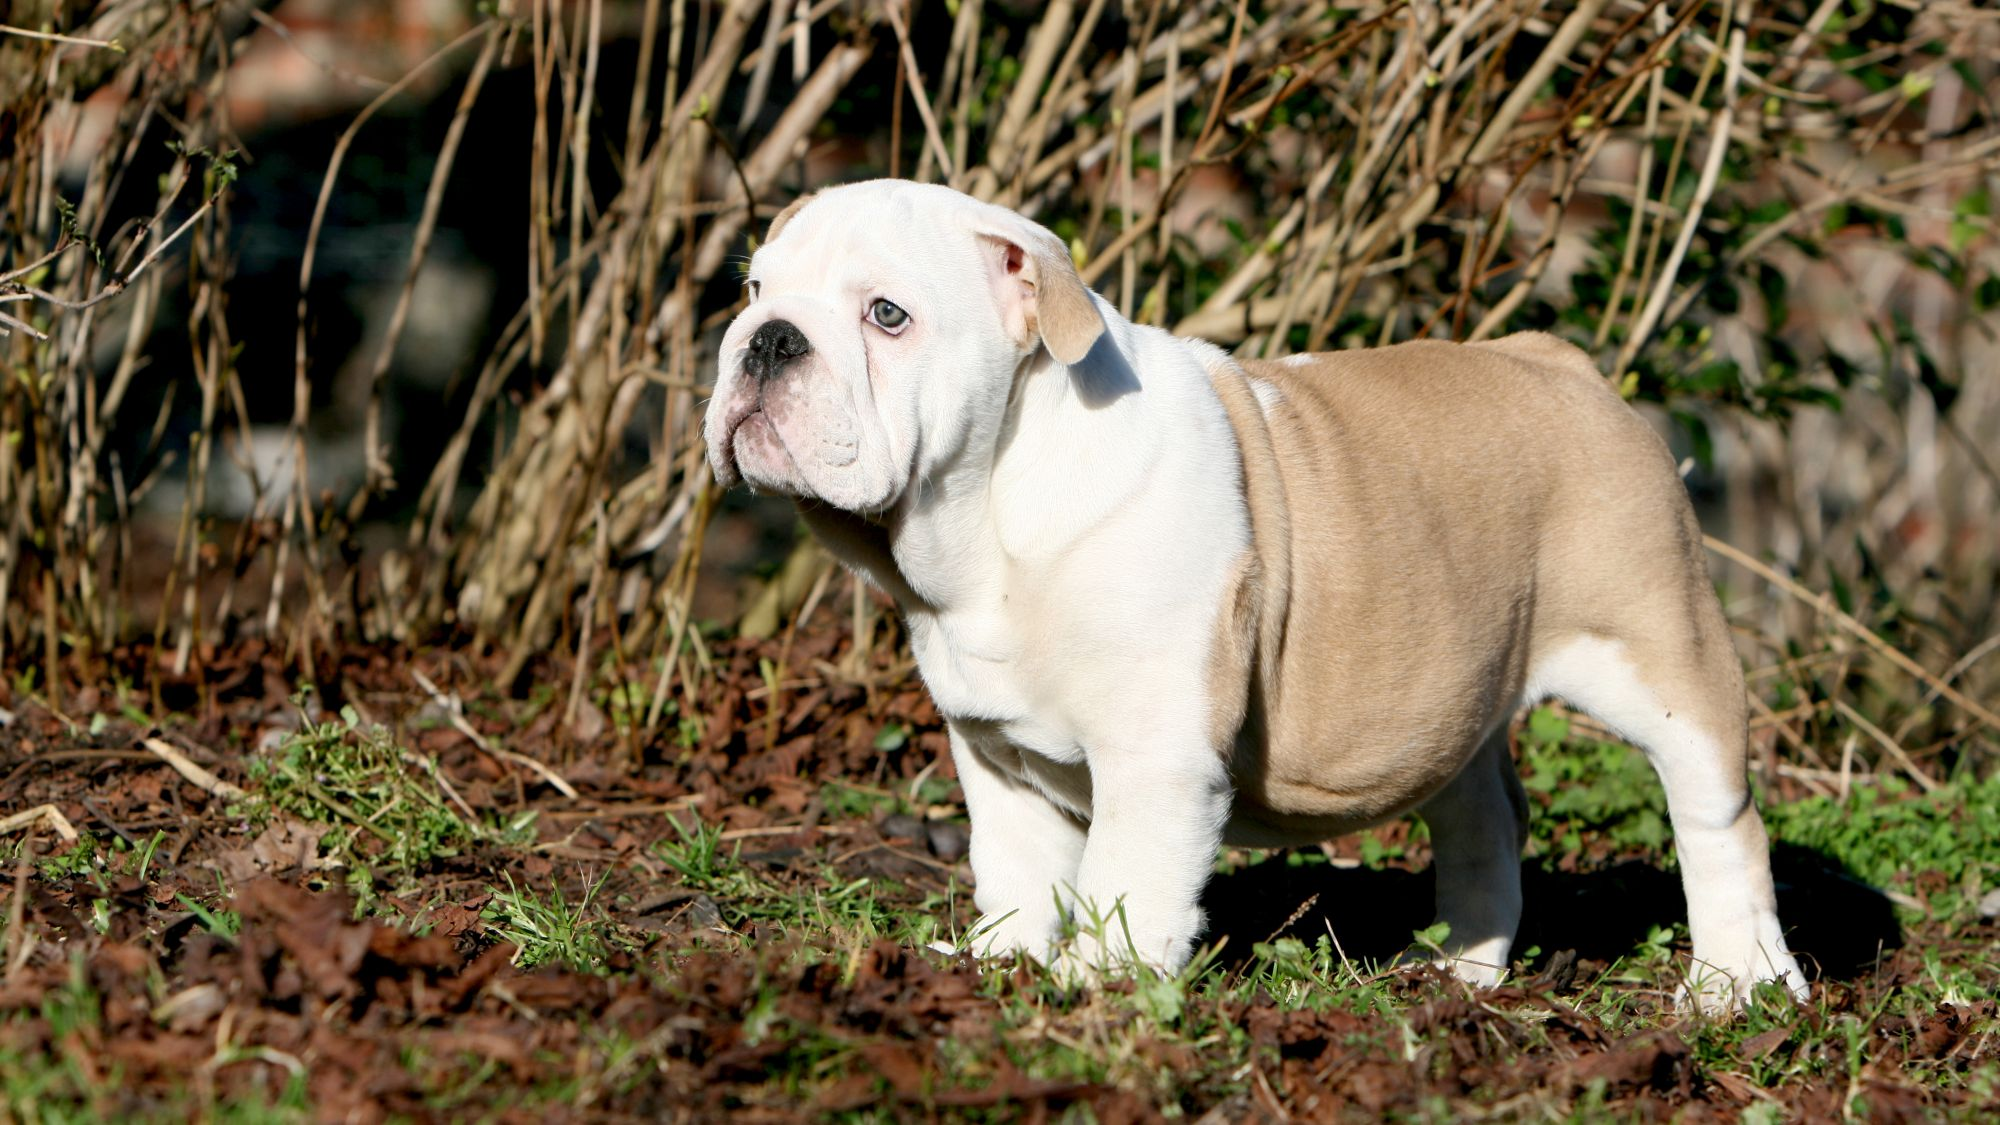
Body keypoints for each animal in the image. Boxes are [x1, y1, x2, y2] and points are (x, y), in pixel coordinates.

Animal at [708, 177, 1816, 1008]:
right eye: (755, 289)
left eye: (886, 316)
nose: (767, 338)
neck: (987, 515)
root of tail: (1559, 364)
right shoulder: (997, 753)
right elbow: (1016, 867)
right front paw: (1000, 963)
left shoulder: (1154, 753)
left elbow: (1125, 876)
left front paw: (1097, 985)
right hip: (1453, 684)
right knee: (1483, 816)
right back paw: (1454, 969)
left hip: (1656, 646)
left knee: (1715, 814)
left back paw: (1736, 982)